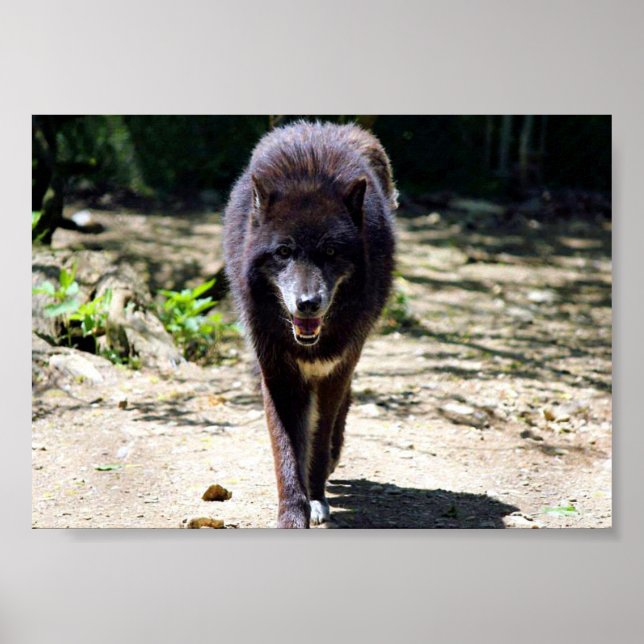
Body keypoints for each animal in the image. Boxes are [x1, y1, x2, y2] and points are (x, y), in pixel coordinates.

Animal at [223, 121, 397, 527]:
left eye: (330, 251)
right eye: (284, 251)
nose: (307, 303)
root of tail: (328, 125)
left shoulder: (335, 369)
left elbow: (317, 440)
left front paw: (316, 496)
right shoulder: (277, 374)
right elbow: (286, 449)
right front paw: (292, 512)